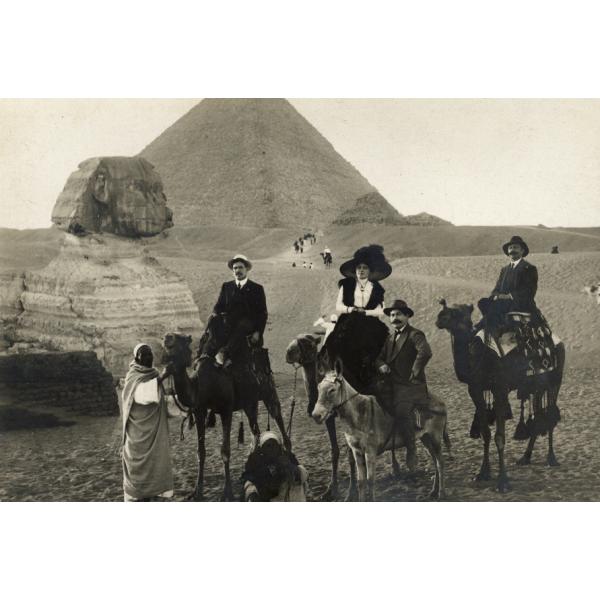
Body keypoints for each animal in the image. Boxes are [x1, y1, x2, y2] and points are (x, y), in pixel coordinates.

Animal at [161, 328, 290, 502]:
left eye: (181, 340)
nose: (167, 337)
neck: (202, 384)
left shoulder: (225, 410)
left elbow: (225, 451)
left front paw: (227, 492)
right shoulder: (200, 411)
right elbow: (200, 452)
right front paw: (197, 491)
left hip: (268, 390)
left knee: (278, 418)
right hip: (250, 402)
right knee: (255, 430)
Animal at [314, 360, 446, 502]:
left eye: (332, 390)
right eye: (318, 388)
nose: (316, 415)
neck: (360, 412)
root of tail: (439, 401)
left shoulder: (370, 451)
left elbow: (370, 480)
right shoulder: (357, 452)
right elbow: (361, 481)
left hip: (435, 437)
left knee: (440, 463)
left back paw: (441, 493)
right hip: (425, 438)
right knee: (435, 461)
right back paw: (433, 491)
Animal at [434, 296, 564, 492]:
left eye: (457, 312)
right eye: (446, 308)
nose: (439, 318)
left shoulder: (500, 390)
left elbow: (499, 437)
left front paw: (503, 482)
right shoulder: (475, 390)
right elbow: (486, 432)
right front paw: (482, 473)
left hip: (555, 381)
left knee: (550, 415)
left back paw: (551, 458)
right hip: (536, 385)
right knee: (538, 414)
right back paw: (525, 457)